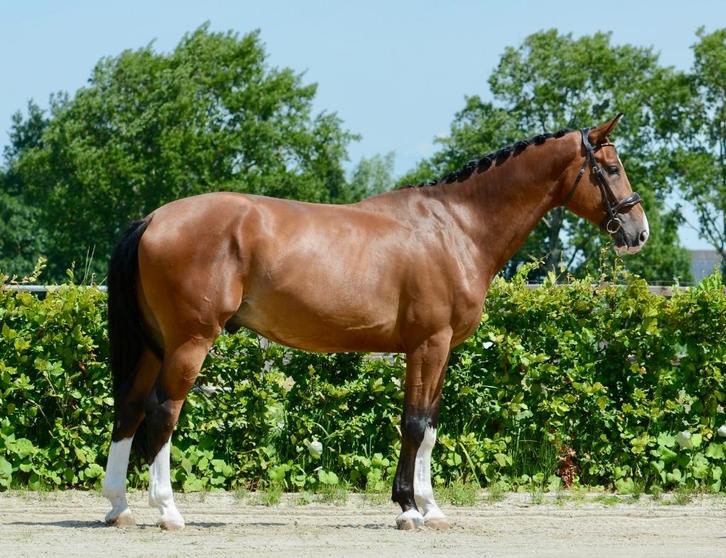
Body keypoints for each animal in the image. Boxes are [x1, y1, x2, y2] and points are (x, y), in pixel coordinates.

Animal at [101, 114, 648, 531]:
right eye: (612, 168)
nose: (638, 232)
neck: (455, 227)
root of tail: (153, 219)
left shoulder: (437, 349)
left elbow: (429, 428)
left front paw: (429, 507)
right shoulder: (430, 344)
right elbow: (415, 424)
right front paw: (409, 509)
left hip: (154, 345)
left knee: (128, 409)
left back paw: (119, 508)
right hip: (189, 342)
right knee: (161, 413)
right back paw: (168, 511)